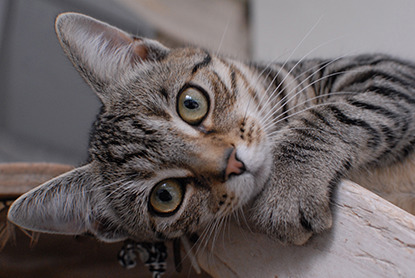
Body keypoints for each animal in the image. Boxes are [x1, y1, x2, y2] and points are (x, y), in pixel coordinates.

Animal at [6, 11, 415, 245]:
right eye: (165, 196)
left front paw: (290, 185)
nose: (232, 163)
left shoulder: (390, 73)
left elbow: (344, 111)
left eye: (191, 104)